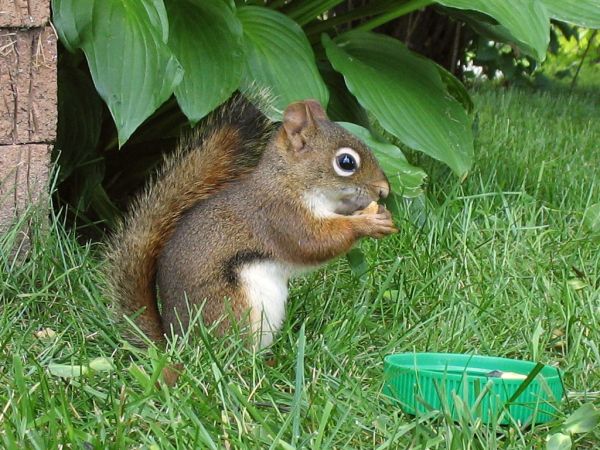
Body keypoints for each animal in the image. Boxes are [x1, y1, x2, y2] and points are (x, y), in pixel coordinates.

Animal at [105, 95, 396, 348]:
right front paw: (366, 224)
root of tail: (176, 342)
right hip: (233, 308)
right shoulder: (279, 217)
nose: (384, 191)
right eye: (346, 162)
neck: (290, 182)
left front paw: (380, 215)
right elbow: (314, 243)